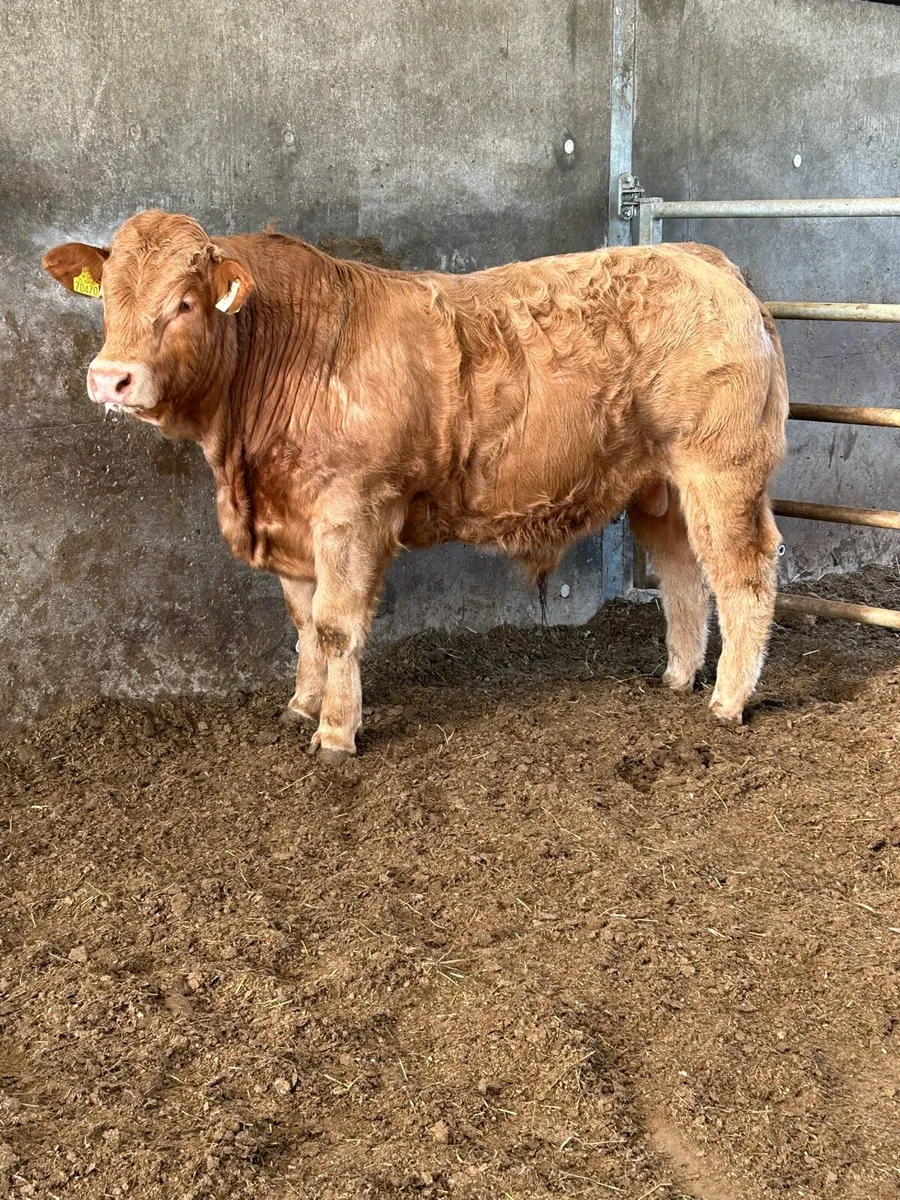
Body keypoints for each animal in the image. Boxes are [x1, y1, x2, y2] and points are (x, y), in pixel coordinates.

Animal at [42, 211, 788, 763]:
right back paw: (678, 676)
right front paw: (301, 705)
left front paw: (336, 733)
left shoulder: (353, 512)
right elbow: (303, 624)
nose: (110, 378)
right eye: (108, 300)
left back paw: (728, 701)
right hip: (659, 484)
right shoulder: (293, 523)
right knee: (684, 574)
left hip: (722, 470)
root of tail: (702, 258)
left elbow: (336, 627)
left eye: (186, 301)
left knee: (743, 576)